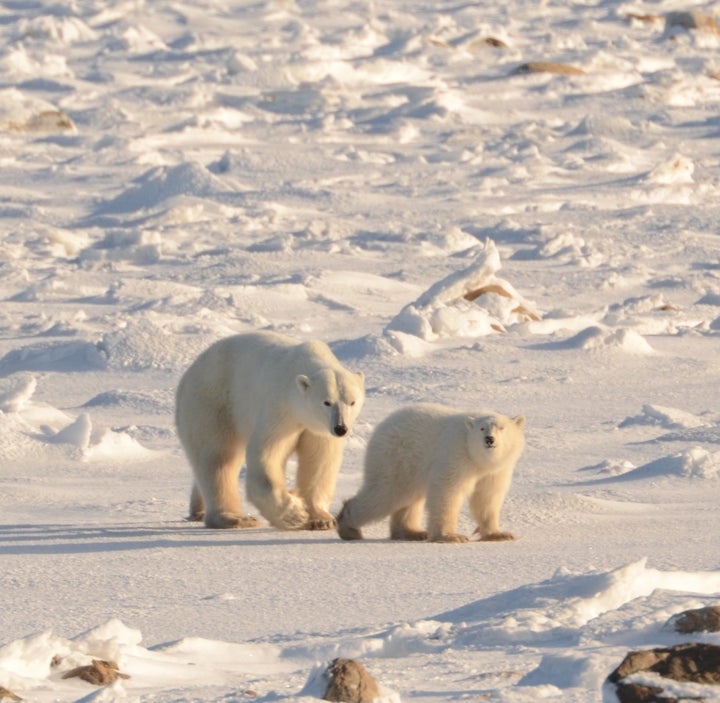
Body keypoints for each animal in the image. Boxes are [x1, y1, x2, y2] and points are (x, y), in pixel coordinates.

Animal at [175, 332, 366, 532]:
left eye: (352, 402)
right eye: (327, 402)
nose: (341, 428)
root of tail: (188, 374)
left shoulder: (319, 429)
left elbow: (320, 461)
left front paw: (321, 519)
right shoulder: (280, 409)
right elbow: (267, 454)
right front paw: (295, 515)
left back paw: (198, 509)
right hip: (213, 404)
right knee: (218, 458)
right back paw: (235, 518)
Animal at [338, 402, 524, 544]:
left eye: (502, 428)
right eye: (482, 428)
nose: (489, 439)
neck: (477, 459)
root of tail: (382, 426)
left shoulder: (495, 471)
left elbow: (487, 497)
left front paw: (500, 534)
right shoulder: (456, 455)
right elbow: (447, 491)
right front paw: (451, 536)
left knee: (408, 497)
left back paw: (413, 532)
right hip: (396, 458)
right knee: (385, 494)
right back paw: (348, 527)